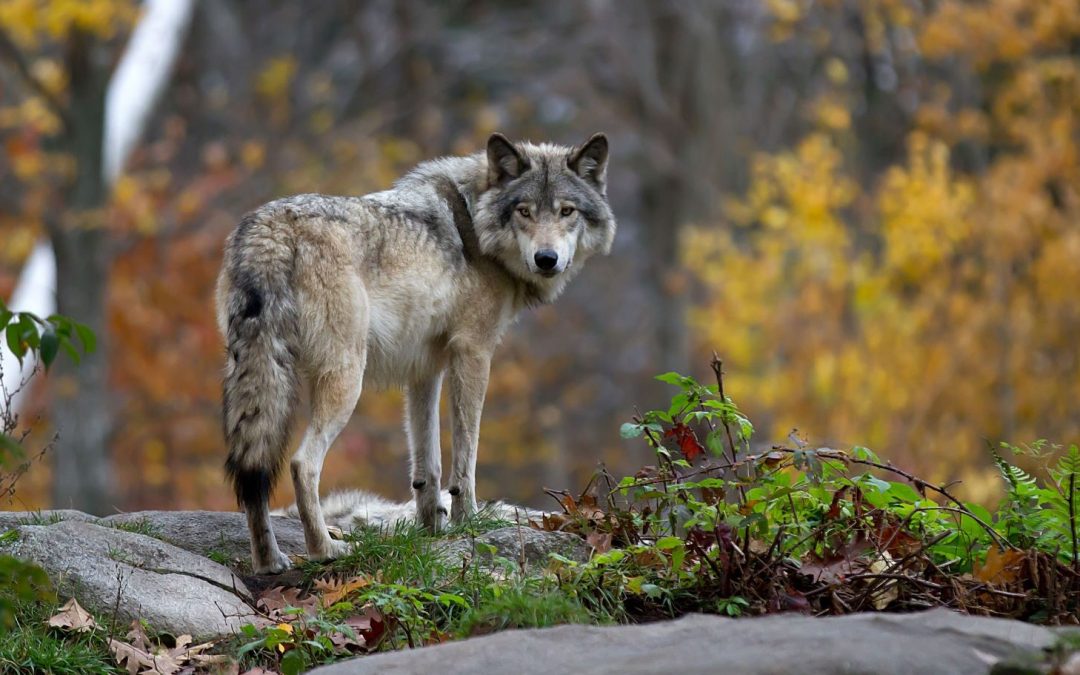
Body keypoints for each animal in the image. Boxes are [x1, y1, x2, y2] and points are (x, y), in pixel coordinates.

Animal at [217, 132, 615, 573]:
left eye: (566, 211)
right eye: (524, 211)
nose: (547, 260)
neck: (475, 223)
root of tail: (270, 229)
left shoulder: (425, 369)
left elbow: (428, 464)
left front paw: (431, 530)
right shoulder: (473, 353)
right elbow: (465, 457)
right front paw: (466, 522)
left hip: (257, 376)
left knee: (252, 471)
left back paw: (269, 561)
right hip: (346, 379)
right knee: (303, 463)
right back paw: (326, 549)